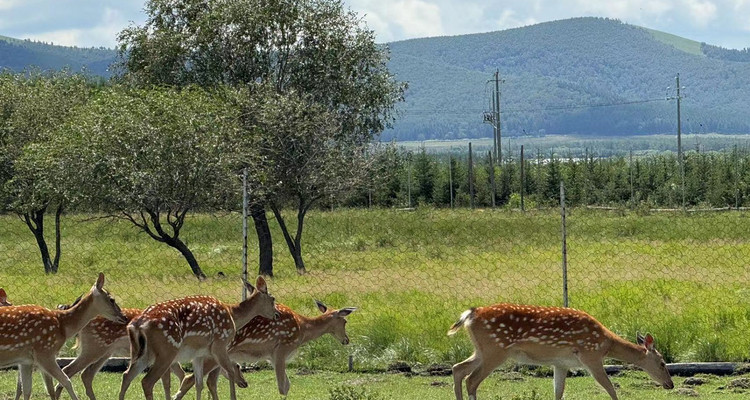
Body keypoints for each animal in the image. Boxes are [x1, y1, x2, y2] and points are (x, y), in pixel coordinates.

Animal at [0, 272, 126, 400]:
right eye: (112, 299)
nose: (124, 317)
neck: (63, 326)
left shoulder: (26, 361)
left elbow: (26, 389)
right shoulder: (45, 352)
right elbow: (66, 381)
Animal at [119, 276, 280, 400]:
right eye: (273, 298)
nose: (277, 314)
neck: (232, 315)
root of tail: (136, 325)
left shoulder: (198, 354)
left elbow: (198, 383)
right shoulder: (220, 344)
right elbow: (229, 372)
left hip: (141, 352)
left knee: (126, 375)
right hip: (166, 350)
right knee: (147, 381)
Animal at [173, 298, 358, 398]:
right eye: (345, 321)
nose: (346, 340)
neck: (303, 329)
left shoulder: (271, 356)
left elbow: (287, 385)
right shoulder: (282, 349)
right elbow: (282, 386)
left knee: (204, 380)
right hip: (213, 355)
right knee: (189, 378)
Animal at [450, 304, 680, 400]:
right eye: (662, 363)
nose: (670, 384)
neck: (606, 344)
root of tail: (470, 314)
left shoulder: (560, 363)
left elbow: (558, 392)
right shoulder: (590, 356)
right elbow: (610, 388)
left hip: (482, 350)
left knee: (458, 368)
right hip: (495, 350)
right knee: (471, 379)